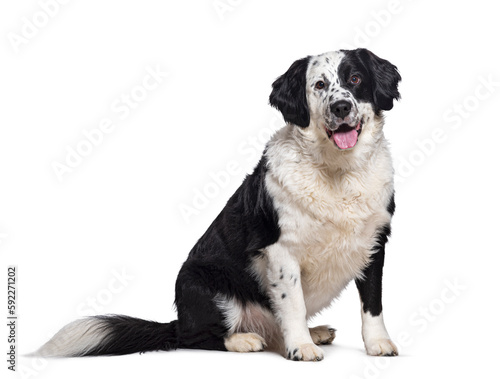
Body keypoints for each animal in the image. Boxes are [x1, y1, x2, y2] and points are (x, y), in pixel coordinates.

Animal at [36, 47, 402, 362]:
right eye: (320, 84)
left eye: (355, 79)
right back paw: (245, 340)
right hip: (206, 286)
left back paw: (314, 332)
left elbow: (373, 304)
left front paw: (378, 343)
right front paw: (300, 347)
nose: (341, 107)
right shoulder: (281, 250)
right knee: (197, 338)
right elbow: (293, 304)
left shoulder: (374, 243)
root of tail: (180, 319)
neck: (338, 171)